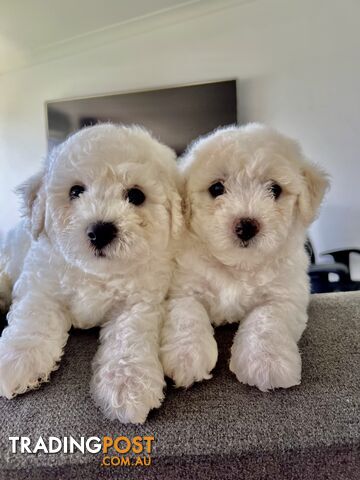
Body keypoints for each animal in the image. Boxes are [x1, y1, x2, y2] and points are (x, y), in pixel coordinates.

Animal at [0, 124, 181, 424]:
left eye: (136, 196)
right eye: (75, 191)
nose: (101, 231)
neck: (95, 274)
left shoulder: (138, 302)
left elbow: (128, 337)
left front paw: (128, 385)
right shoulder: (41, 286)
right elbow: (33, 320)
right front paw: (16, 360)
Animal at [160, 124, 330, 394]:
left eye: (275, 189)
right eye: (216, 189)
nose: (246, 225)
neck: (238, 266)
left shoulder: (285, 294)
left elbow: (267, 320)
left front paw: (266, 362)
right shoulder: (184, 287)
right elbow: (187, 314)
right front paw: (186, 357)